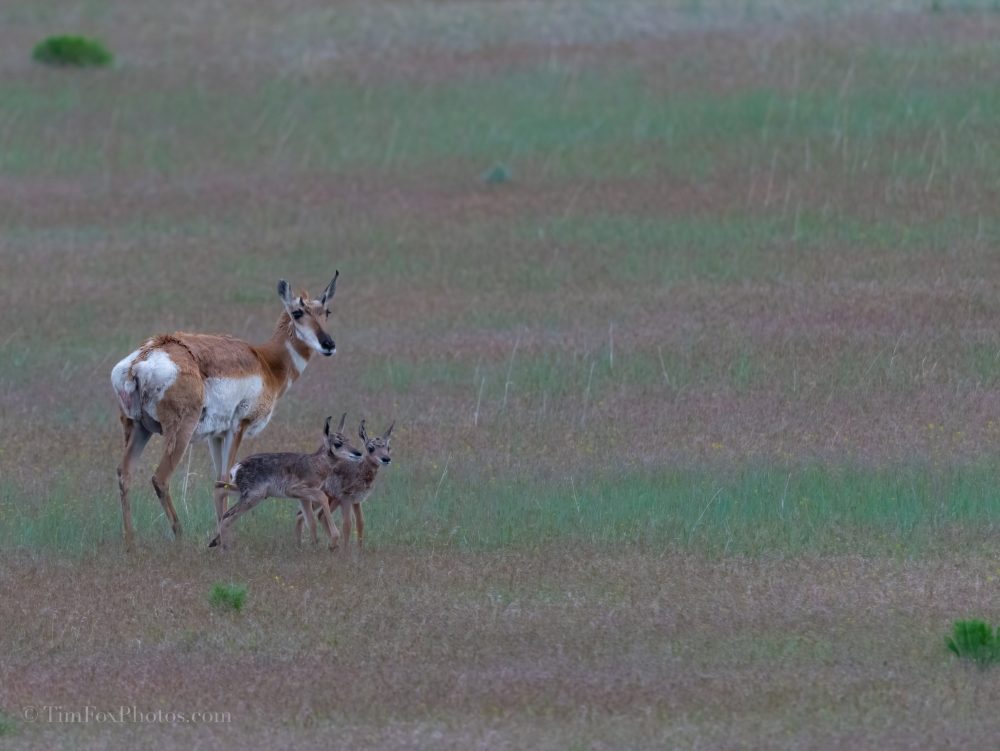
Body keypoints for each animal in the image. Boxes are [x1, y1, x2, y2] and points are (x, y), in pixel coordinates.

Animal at [110, 273, 339, 550]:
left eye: (326, 311)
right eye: (297, 312)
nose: (329, 344)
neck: (265, 362)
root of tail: (141, 360)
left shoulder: (215, 436)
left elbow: (218, 481)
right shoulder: (237, 428)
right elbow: (224, 479)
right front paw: (224, 542)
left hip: (138, 429)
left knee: (124, 474)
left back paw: (130, 541)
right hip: (180, 433)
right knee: (160, 478)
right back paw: (180, 535)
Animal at [208, 414, 364, 550]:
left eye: (349, 440)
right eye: (337, 443)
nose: (358, 453)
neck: (315, 463)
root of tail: (237, 466)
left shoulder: (304, 498)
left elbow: (311, 522)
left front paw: (315, 547)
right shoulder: (296, 490)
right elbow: (322, 497)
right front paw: (333, 541)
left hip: (243, 491)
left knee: (219, 492)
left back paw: (215, 542)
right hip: (253, 497)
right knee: (227, 517)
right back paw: (225, 548)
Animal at [295, 419, 393, 553]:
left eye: (388, 447)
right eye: (370, 448)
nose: (386, 459)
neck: (358, 470)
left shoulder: (356, 501)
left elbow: (360, 522)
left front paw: (359, 550)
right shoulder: (346, 499)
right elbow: (347, 524)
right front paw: (346, 551)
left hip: (331, 499)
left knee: (314, 516)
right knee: (304, 515)